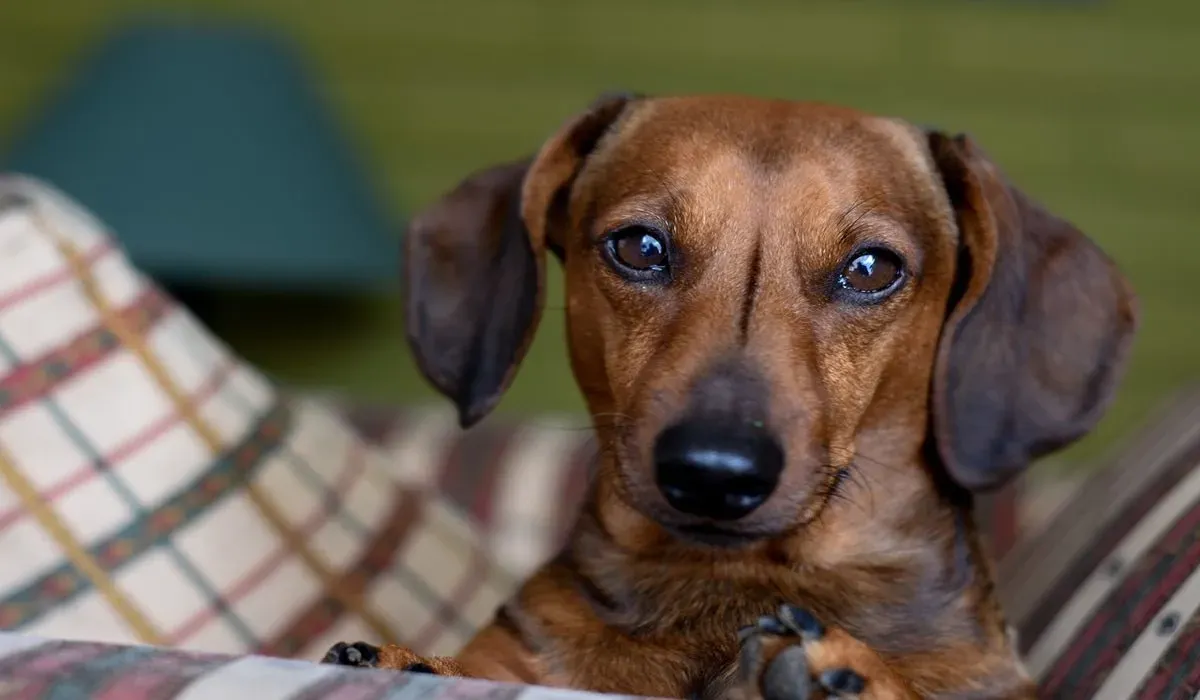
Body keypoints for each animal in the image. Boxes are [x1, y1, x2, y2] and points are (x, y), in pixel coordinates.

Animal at [316, 94, 1132, 700]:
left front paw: (855, 674)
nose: (714, 471)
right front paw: (412, 661)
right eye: (639, 247)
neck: (732, 586)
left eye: (871, 268)